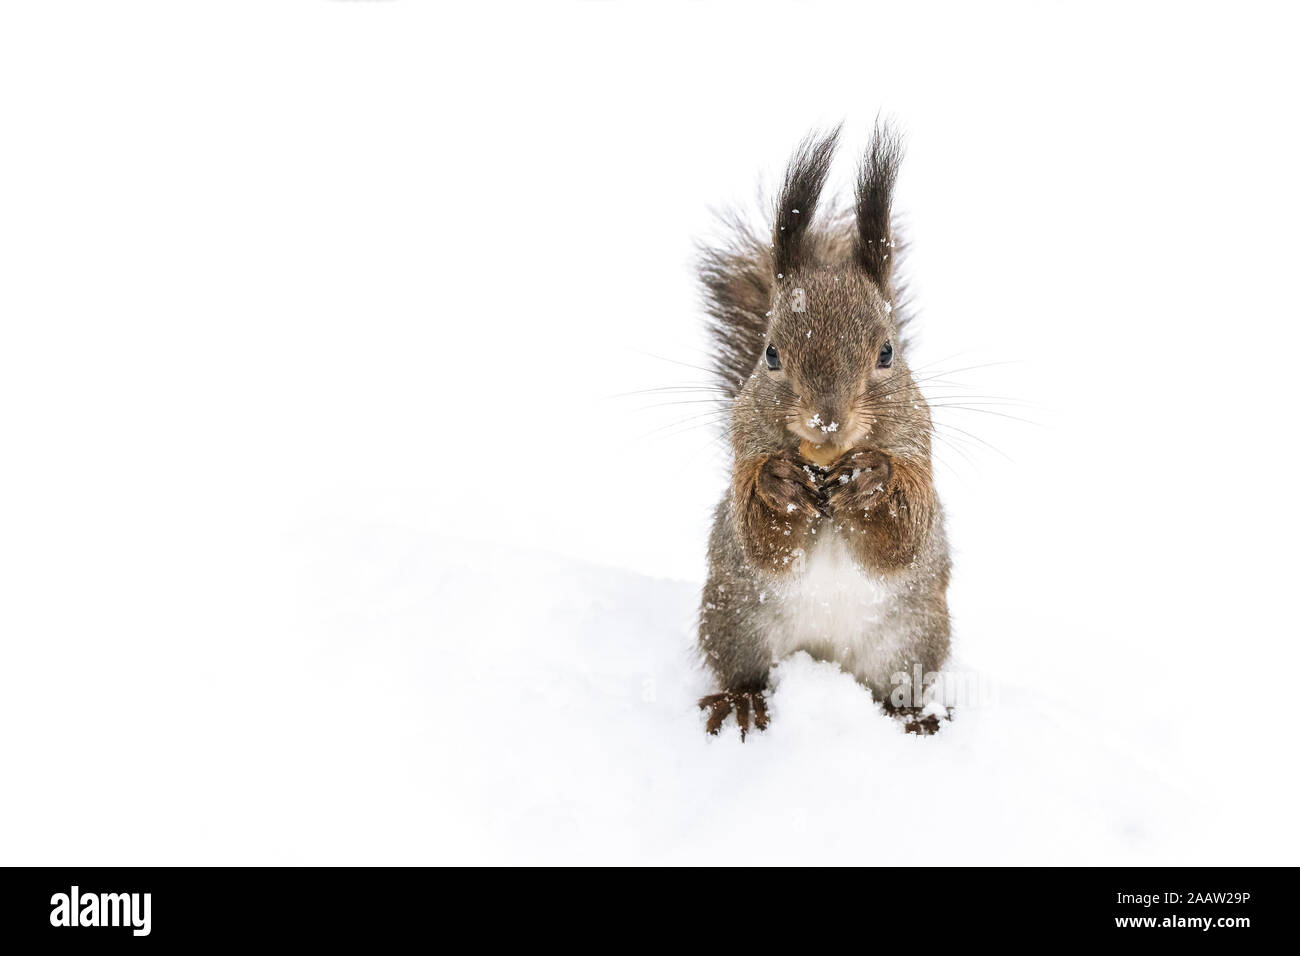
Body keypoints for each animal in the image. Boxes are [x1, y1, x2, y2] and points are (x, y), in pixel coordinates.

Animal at [695, 123, 951, 738]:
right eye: (770, 354)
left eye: (887, 353)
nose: (826, 423)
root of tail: (826, 661)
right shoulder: (746, 447)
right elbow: (758, 534)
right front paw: (779, 483)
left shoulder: (919, 447)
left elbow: (906, 533)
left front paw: (872, 477)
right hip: (734, 620)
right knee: (743, 668)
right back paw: (742, 700)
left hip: (913, 640)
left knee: (898, 688)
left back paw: (912, 717)